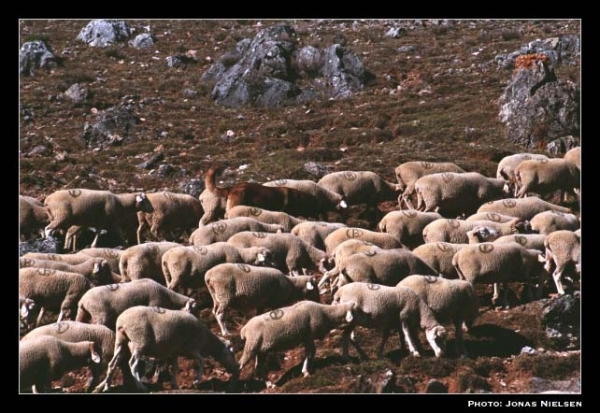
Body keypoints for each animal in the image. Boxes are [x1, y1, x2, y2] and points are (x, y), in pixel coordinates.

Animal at [92, 304, 238, 392]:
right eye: (232, 353)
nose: (237, 369)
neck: (206, 341)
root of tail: (122, 320)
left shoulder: (175, 351)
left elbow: (175, 367)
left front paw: (175, 384)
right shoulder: (191, 347)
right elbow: (202, 360)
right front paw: (197, 380)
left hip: (121, 342)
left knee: (112, 364)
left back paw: (106, 386)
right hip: (139, 341)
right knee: (132, 364)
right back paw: (141, 386)